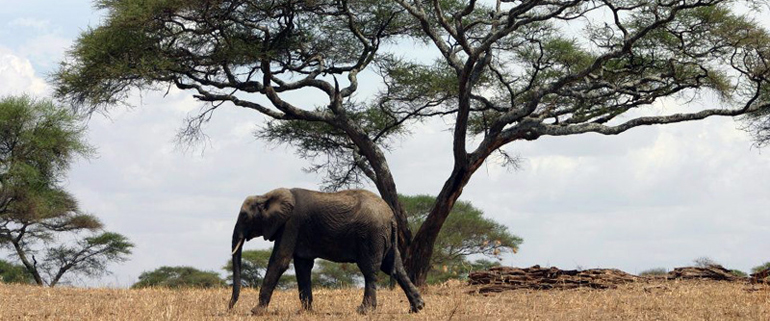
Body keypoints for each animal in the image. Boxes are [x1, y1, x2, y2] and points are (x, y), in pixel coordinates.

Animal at [228, 188, 424, 312]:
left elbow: (280, 261)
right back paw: (417, 308)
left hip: (371, 235)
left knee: (370, 271)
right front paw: (305, 312)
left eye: (244, 216)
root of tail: (391, 217)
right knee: (394, 267)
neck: (266, 196)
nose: (230, 308)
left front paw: (256, 311)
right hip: (383, 236)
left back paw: (364, 310)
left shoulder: (291, 224)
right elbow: (302, 266)